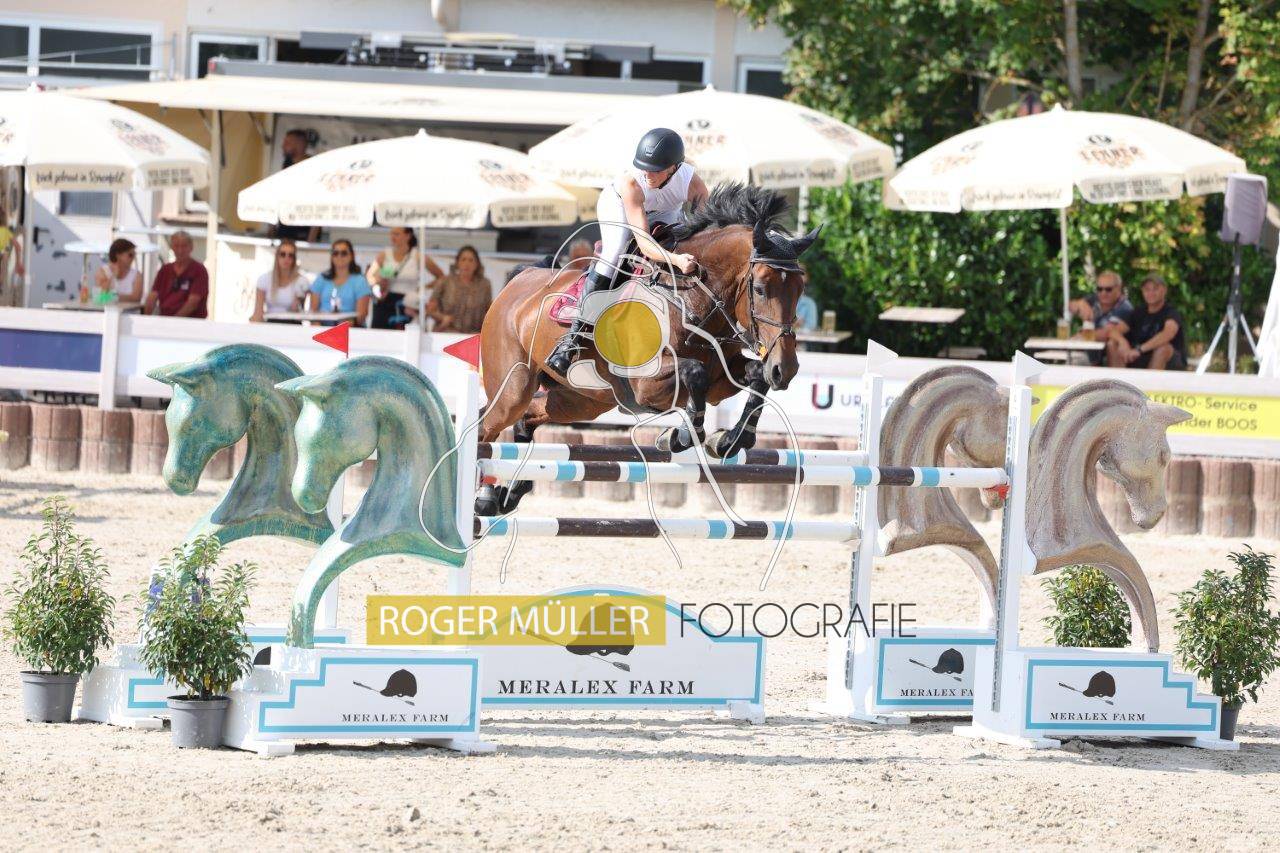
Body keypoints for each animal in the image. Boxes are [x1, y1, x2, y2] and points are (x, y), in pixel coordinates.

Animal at [477, 183, 821, 515]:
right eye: (760, 289)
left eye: (800, 288)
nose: (786, 369)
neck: (690, 302)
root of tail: (518, 280)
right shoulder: (645, 383)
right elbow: (694, 373)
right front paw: (680, 436)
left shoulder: (720, 380)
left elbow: (755, 377)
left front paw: (731, 440)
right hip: (514, 387)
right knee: (487, 427)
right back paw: (485, 497)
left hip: (580, 401)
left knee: (527, 417)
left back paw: (512, 492)